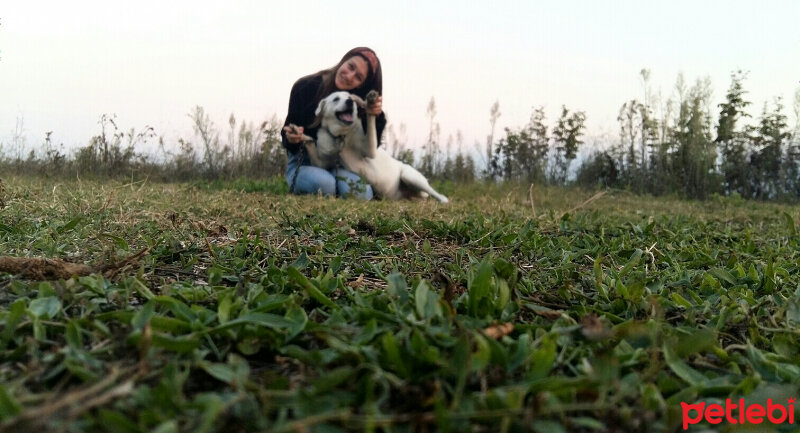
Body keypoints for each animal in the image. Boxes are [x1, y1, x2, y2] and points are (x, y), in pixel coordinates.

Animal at [290, 90, 450, 204]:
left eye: (350, 98)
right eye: (336, 99)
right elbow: (310, 142)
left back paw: (443, 200)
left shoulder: (370, 150)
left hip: (410, 176)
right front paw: (297, 133)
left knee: (435, 193)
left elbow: (371, 122)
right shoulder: (322, 163)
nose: (350, 102)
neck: (342, 136)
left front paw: (371, 103)